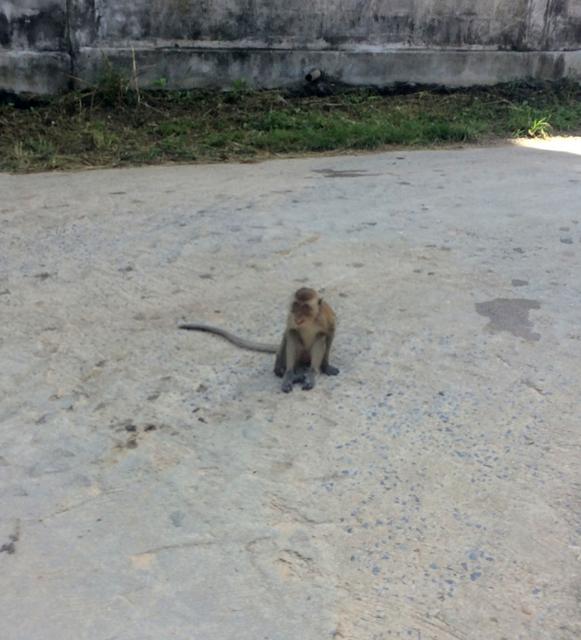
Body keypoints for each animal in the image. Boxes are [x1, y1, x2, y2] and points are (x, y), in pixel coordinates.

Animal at [179, 288, 338, 392]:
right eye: (296, 305)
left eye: (305, 307)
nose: (298, 315)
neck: (310, 321)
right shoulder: (291, 318)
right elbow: (289, 332)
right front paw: (281, 370)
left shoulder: (326, 317)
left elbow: (329, 333)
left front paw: (325, 366)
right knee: (293, 335)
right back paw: (290, 373)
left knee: (320, 337)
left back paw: (310, 373)